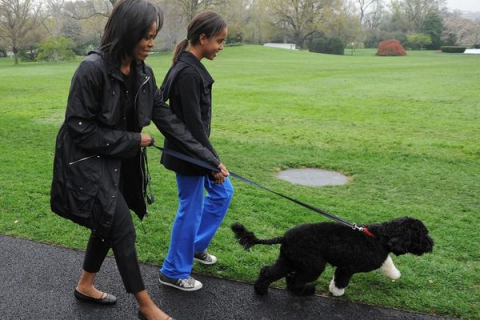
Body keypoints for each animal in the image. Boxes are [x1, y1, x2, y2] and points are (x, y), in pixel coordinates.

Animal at [231, 216, 434, 296]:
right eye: (422, 235)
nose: (432, 245)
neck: (381, 237)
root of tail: (285, 237)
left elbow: (387, 262)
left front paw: (394, 274)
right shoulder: (347, 268)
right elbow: (341, 281)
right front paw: (337, 292)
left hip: (289, 260)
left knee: (270, 272)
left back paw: (261, 290)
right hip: (313, 264)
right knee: (295, 279)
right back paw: (305, 291)